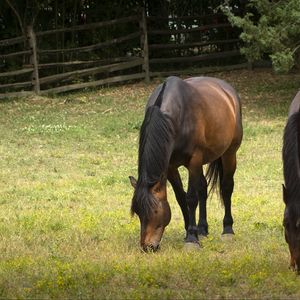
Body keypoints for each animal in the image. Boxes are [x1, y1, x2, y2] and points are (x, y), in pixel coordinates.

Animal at [130, 75, 243, 251]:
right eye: (138, 212)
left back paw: (227, 230)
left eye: (154, 211)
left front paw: (191, 238)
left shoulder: (194, 161)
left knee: (226, 187)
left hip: (229, 154)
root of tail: (228, 91)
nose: (147, 247)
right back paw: (202, 229)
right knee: (203, 188)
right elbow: (181, 197)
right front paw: (191, 231)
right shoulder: (170, 167)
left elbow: (191, 198)